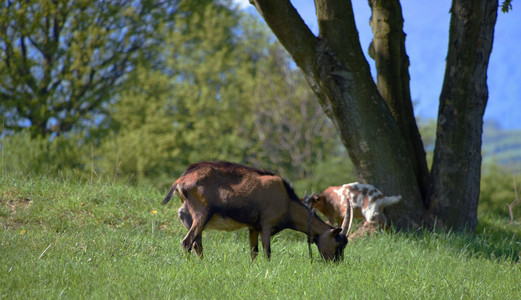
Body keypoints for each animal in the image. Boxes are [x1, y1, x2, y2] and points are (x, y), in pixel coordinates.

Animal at [162, 162, 350, 260]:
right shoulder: (266, 224)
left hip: (190, 217)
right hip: (202, 214)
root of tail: (182, 180)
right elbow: (267, 252)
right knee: (187, 242)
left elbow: (254, 252)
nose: (335, 264)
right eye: (338, 243)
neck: (287, 200)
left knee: (197, 244)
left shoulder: (253, 227)